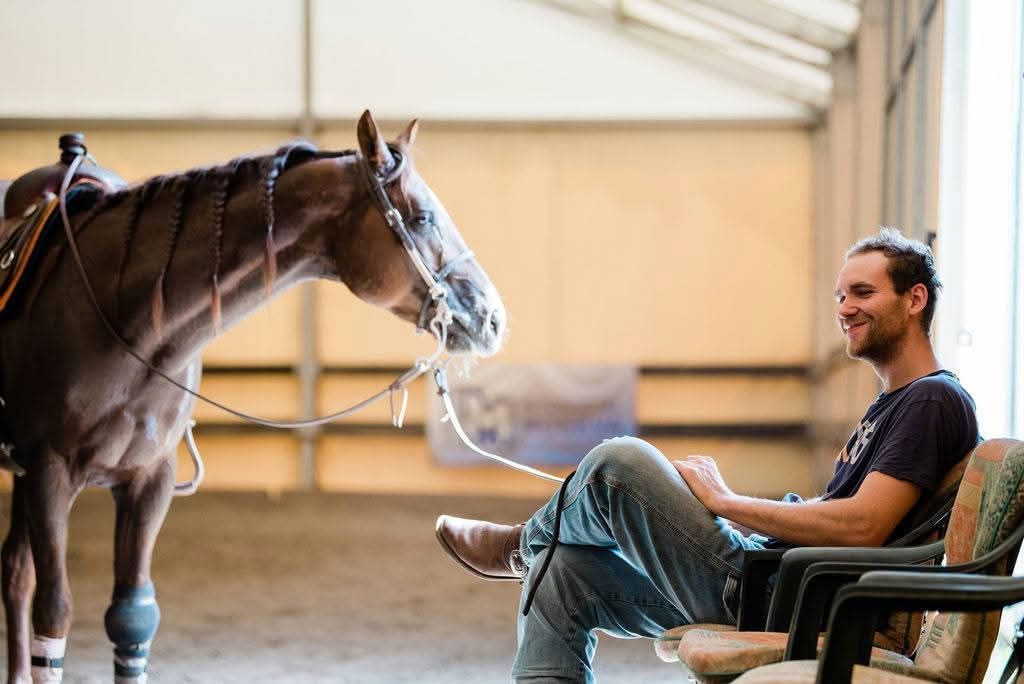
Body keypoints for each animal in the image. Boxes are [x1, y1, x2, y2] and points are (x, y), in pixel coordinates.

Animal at [0, 109, 501, 679]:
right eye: (422, 219)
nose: (492, 316)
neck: (118, 314)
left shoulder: (149, 480)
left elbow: (132, 619)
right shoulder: (50, 472)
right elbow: (55, 611)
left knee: (14, 571)